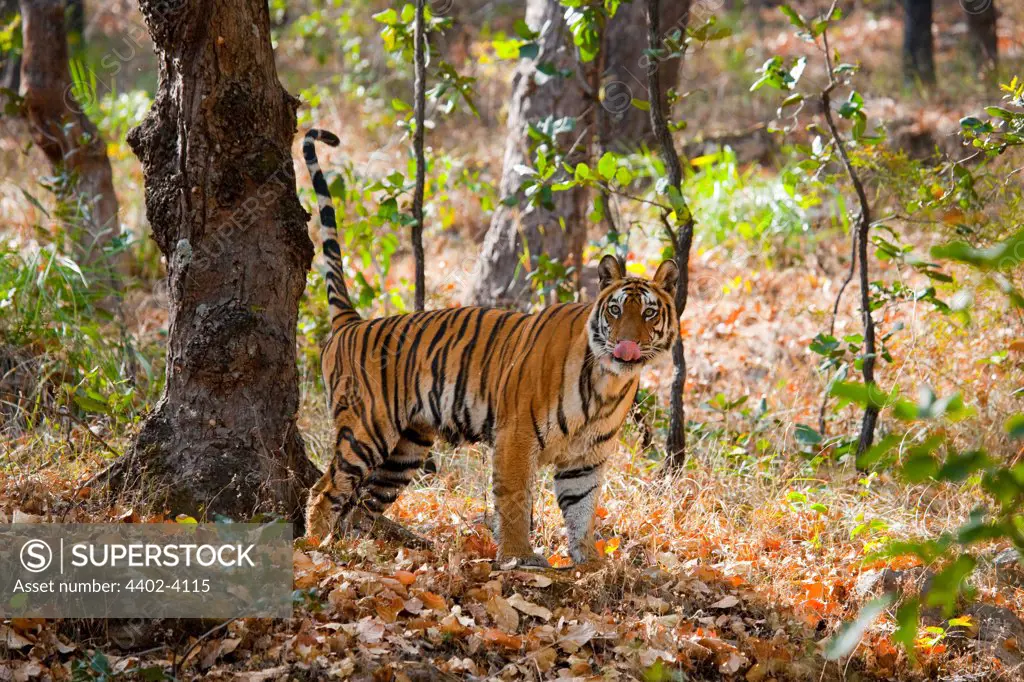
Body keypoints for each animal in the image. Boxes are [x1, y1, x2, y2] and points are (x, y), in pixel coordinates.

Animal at [301, 127, 679, 561]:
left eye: (648, 313)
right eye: (616, 310)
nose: (626, 344)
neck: (608, 383)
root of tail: (353, 322)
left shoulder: (586, 459)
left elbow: (582, 509)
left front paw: (588, 561)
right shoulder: (516, 436)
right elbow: (515, 499)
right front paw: (519, 557)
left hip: (405, 449)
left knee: (363, 503)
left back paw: (359, 551)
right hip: (367, 429)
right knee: (325, 490)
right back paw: (314, 548)